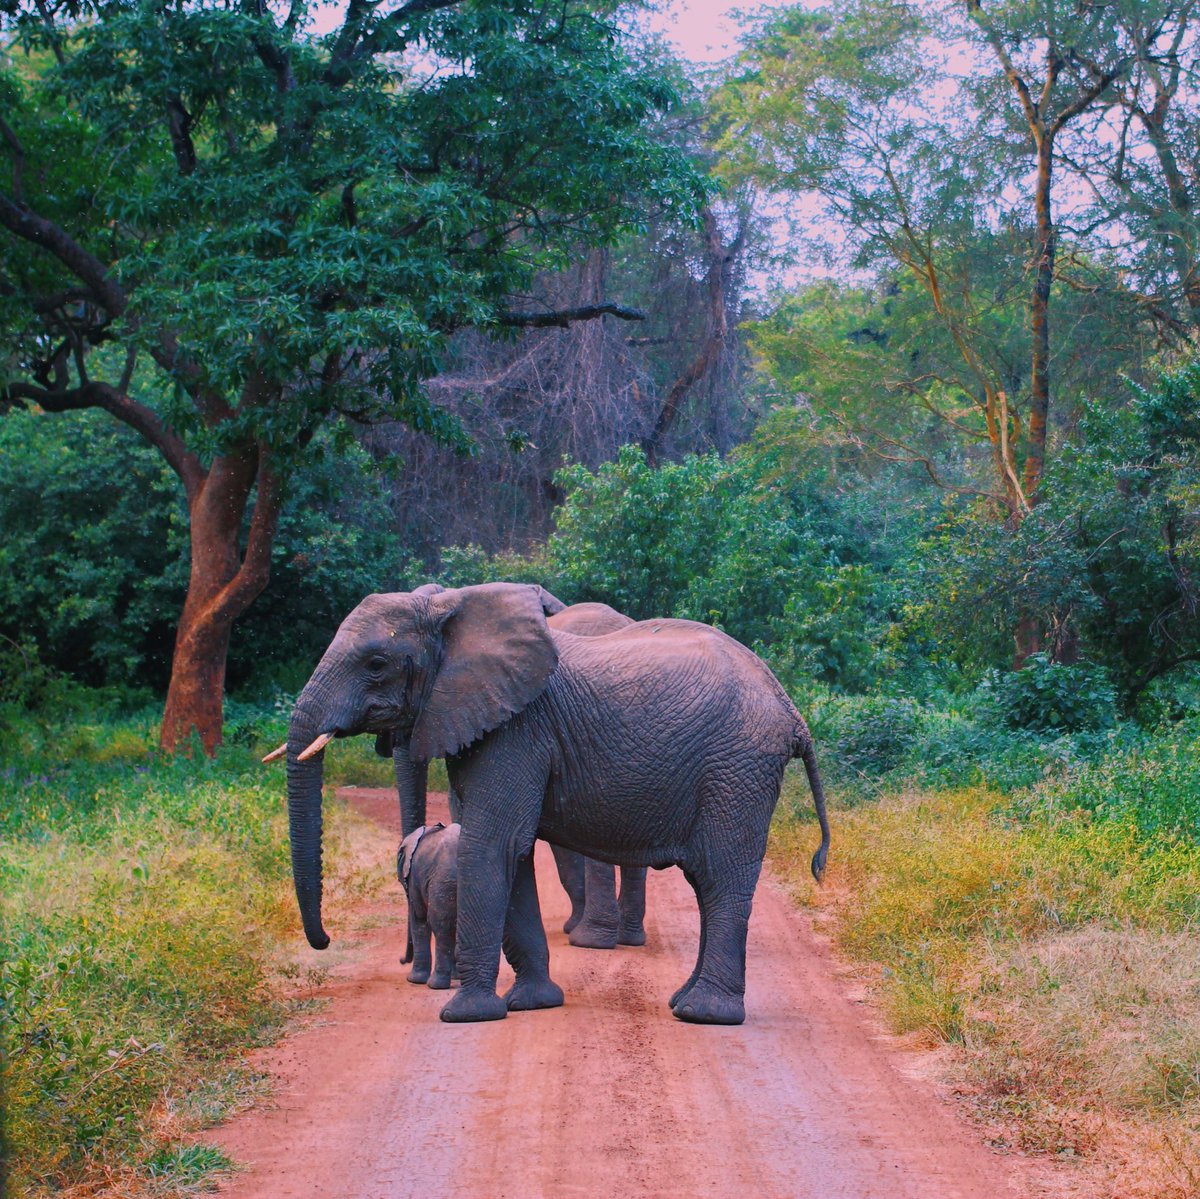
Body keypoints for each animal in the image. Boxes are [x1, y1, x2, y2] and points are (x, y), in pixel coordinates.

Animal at [400, 820, 460, 988]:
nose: (401, 960)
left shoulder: (414, 878)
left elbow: (418, 919)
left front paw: (413, 980)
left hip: (443, 883)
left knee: (441, 927)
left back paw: (435, 985)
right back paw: (456, 977)